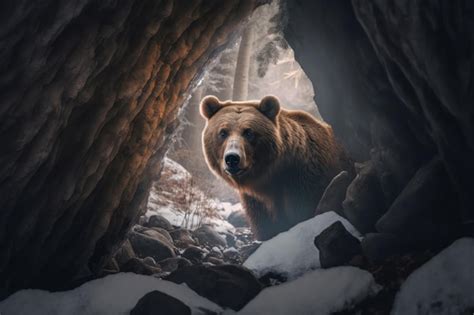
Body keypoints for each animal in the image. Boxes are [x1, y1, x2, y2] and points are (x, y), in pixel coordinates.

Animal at [200, 95, 352, 241]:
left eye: (249, 132)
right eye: (223, 132)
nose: (232, 158)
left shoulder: (304, 181)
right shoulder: (255, 201)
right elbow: (264, 225)